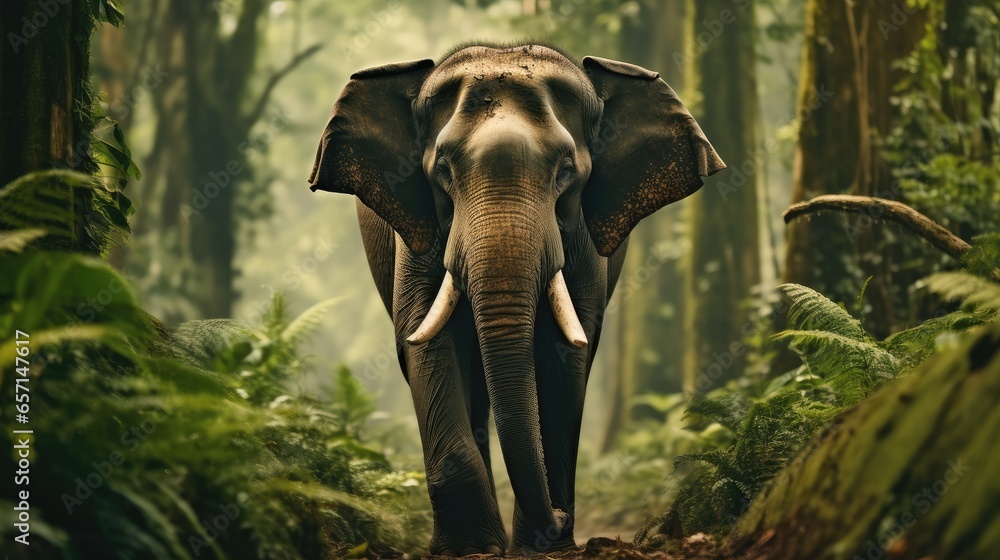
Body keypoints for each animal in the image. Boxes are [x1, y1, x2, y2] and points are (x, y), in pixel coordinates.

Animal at [309, 42, 724, 556]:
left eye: (566, 170)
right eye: (442, 169)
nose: (562, 518)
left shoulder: (581, 241)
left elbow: (567, 350)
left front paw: (542, 546)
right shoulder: (417, 232)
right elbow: (424, 338)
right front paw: (469, 549)